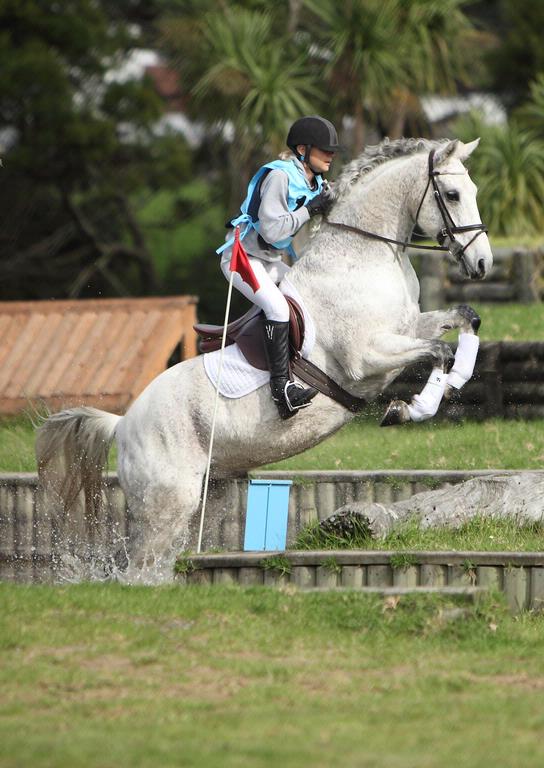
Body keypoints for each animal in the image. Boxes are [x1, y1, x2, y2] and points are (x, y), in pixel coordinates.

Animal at [37, 140, 492, 584]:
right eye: (453, 195)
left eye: (473, 191)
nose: (482, 264)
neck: (363, 256)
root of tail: (123, 422)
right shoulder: (367, 357)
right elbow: (438, 353)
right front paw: (410, 408)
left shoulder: (411, 327)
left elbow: (465, 319)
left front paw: (452, 380)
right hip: (168, 503)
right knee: (139, 570)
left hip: (208, 495)